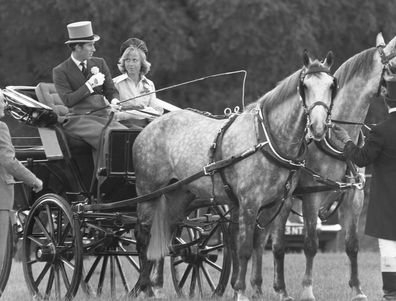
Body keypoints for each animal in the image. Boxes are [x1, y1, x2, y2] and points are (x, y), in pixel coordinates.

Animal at [132, 50, 334, 298]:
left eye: (332, 85)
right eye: (305, 86)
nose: (318, 127)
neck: (268, 139)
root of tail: (148, 127)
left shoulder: (276, 204)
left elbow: (269, 246)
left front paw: (270, 292)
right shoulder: (249, 203)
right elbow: (244, 248)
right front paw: (240, 292)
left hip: (178, 194)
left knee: (166, 234)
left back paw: (157, 288)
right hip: (147, 193)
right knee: (144, 237)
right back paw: (144, 287)